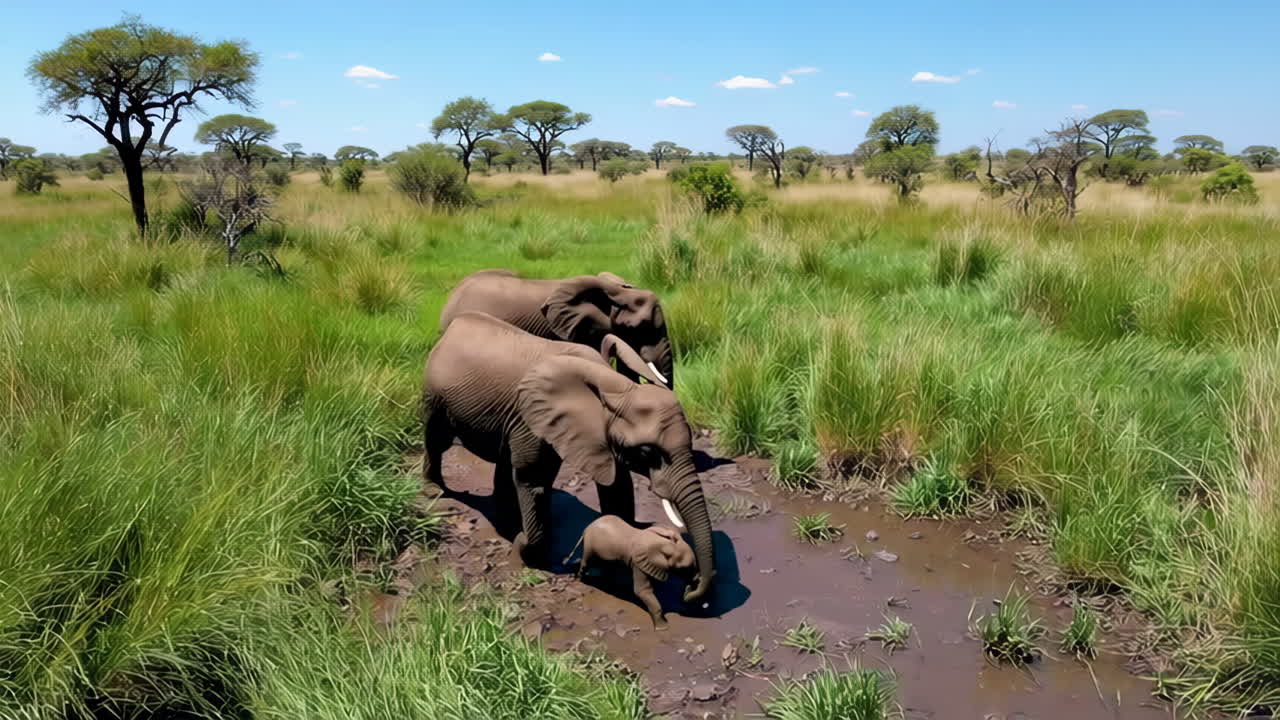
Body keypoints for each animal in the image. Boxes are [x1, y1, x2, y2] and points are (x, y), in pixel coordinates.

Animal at [422, 311, 714, 603]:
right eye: (647, 452)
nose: (690, 591)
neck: (614, 385)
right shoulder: (530, 418)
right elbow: (533, 481)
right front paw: (524, 544)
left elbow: (616, 485)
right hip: (435, 392)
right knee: (437, 439)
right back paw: (435, 490)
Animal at [566, 516, 696, 629]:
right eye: (684, 568)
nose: (687, 590)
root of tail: (587, 528)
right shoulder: (639, 563)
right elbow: (642, 591)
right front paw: (663, 628)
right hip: (590, 546)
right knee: (587, 562)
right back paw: (581, 580)